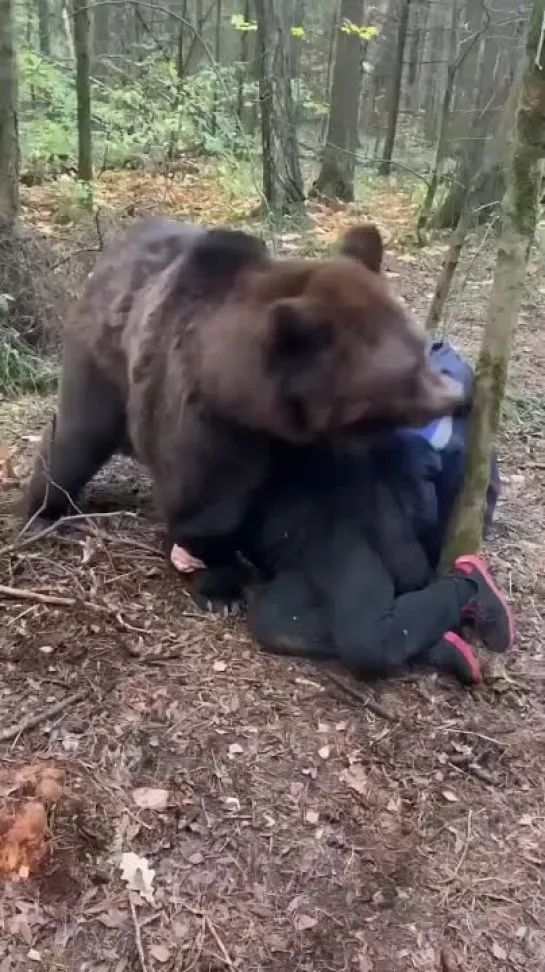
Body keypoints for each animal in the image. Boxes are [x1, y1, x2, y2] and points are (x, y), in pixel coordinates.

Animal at [23, 216, 462, 572]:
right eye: (408, 372)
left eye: (423, 347)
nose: (457, 397)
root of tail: (111, 251)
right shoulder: (203, 419)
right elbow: (204, 499)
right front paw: (218, 576)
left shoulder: (302, 439)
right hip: (101, 360)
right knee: (78, 435)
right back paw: (42, 505)